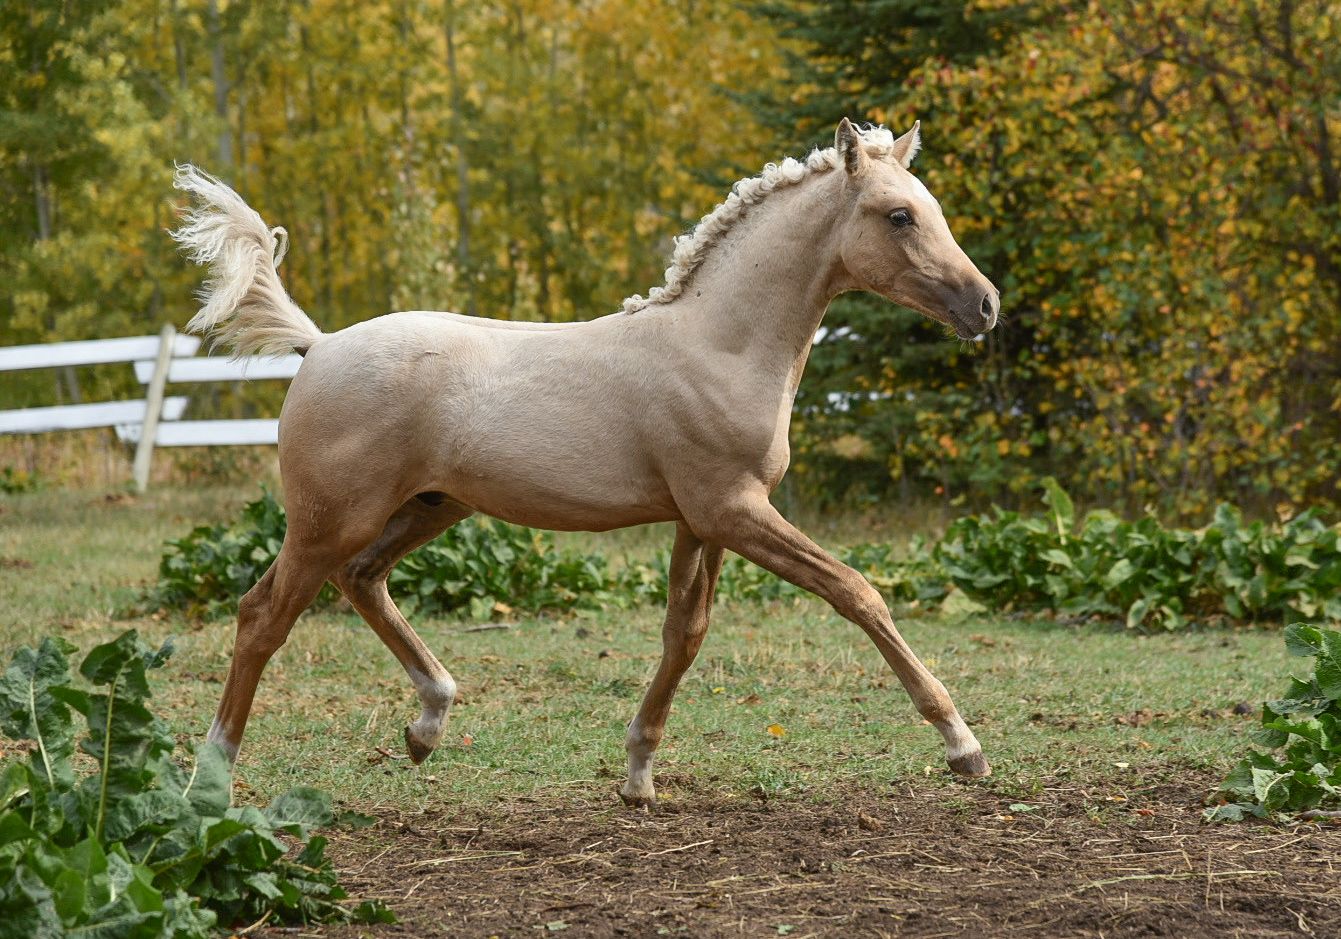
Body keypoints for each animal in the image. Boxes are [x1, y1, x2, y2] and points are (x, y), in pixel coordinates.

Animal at [172, 117, 1000, 808]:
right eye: (898, 215)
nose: (985, 304)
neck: (720, 346)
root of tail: (319, 345)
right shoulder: (733, 509)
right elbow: (857, 592)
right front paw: (962, 745)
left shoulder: (701, 521)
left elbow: (684, 632)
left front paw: (637, 774)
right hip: (327, 519)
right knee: (262, 615)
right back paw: (212, 777)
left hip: (430, 507)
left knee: (361, 579)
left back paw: (427, 723)